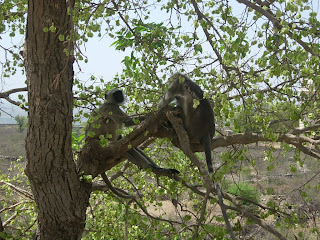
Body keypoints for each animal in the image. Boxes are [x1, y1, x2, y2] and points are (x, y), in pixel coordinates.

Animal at [158, 73, 235, 240]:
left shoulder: (176, 87)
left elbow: (163, 103)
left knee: (185, 109)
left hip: (192, 127)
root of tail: (206, 132)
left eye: (172, 80)